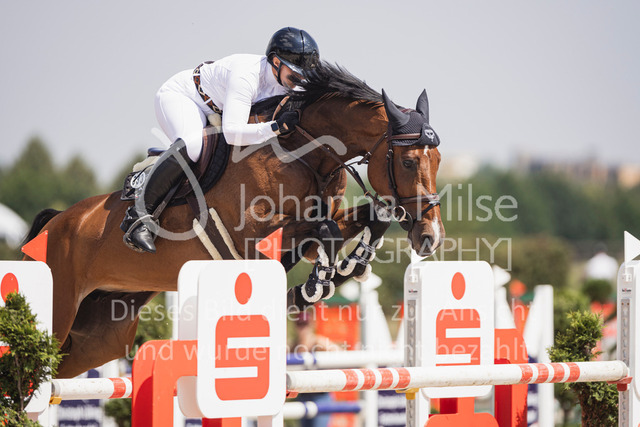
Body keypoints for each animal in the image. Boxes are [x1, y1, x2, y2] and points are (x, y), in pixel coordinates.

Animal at [23, 62, 445, 378]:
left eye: (438, 160)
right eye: (409, 162)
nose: (431, 237)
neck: (303, 149)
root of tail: (58, 223)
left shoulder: (304, 229)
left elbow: (365, 218)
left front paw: (347, 268)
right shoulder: (248, 235)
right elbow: (322, 230)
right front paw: (316, 284)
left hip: (102, 335)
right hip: (60, 311)